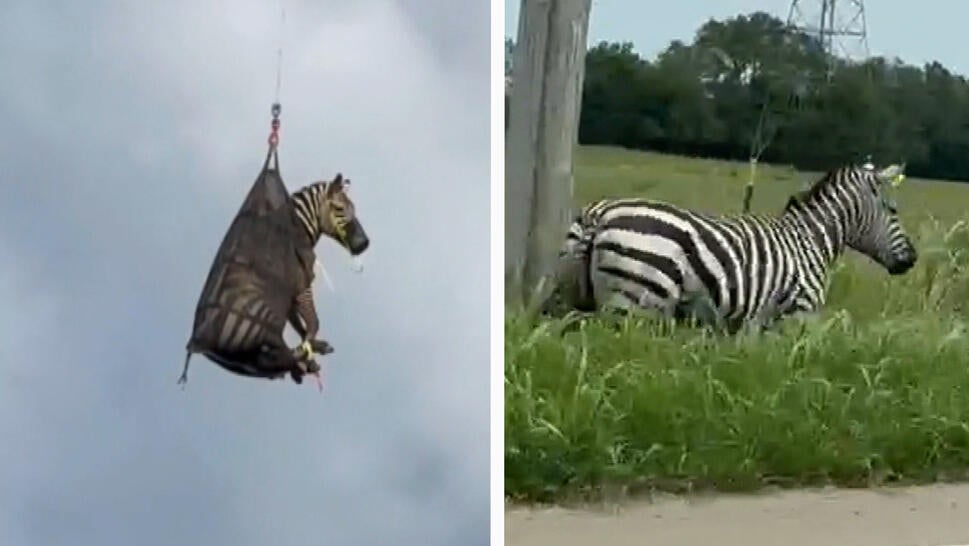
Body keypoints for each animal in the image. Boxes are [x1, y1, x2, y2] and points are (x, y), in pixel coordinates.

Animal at [180, 173, 370, 387]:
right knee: (270, 356)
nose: (364, 244)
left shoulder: (291, 294)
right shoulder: (301, 284)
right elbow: (313, 323)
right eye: (339, 208)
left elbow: (302, 326)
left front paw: (312, 349)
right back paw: (298, 363)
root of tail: (202, 343)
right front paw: (308, 353)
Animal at [548, 163, 917, 332]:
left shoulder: (753, 323)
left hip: (575, 298)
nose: (912, 260)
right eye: (893, 210)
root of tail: (600, 214)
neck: (811, 239)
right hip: (633, 304)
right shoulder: (798, 312)